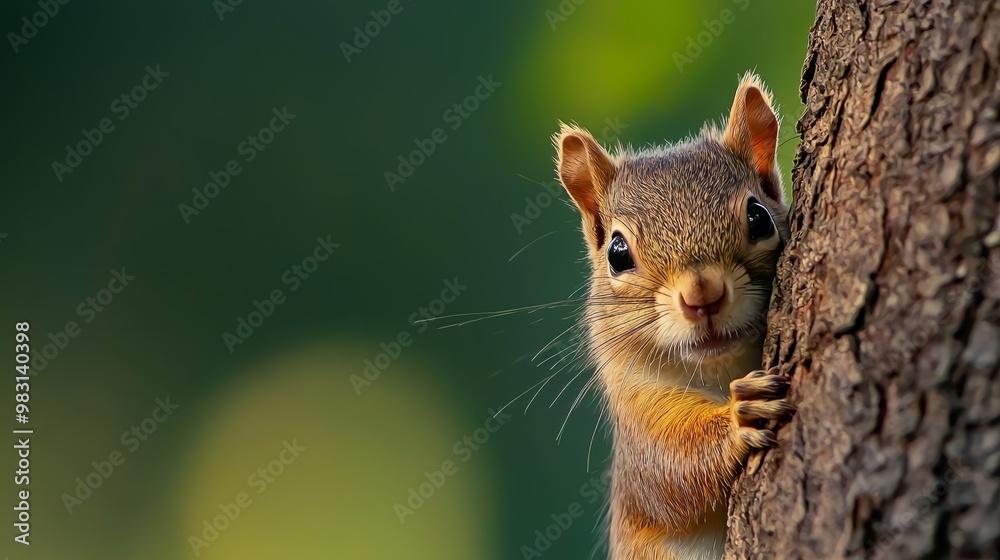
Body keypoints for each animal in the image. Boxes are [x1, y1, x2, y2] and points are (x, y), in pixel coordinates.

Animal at [552, 72, 793, 559]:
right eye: (617, 254)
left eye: (758, 217)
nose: (703, 294)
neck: (721, 373)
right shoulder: (640, 425)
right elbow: (672, 471)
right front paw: (741, 415)